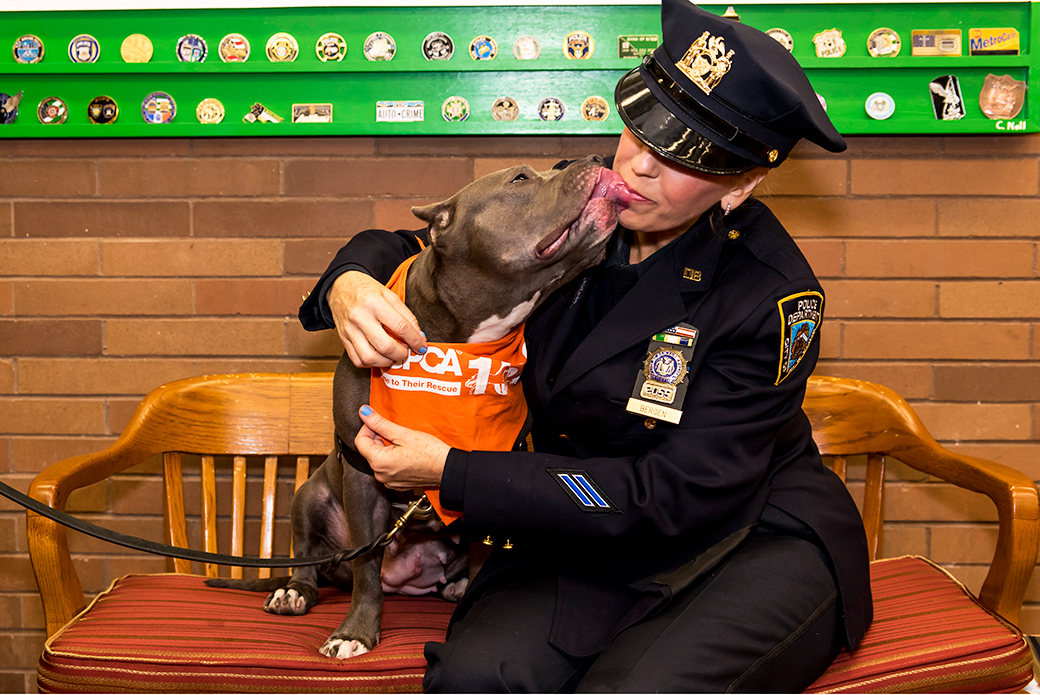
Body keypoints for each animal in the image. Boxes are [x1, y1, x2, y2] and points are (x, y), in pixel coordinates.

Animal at [201, 156, 624, 657]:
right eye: (520, 178)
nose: (595, 159)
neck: (465, 342)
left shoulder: (480, 473)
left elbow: (484, 542)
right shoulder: (363, 474)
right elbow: (366, 568)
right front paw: (355, 632)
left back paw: (453, 586)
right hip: (311, 495)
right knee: (309, 555)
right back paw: (292, 591)